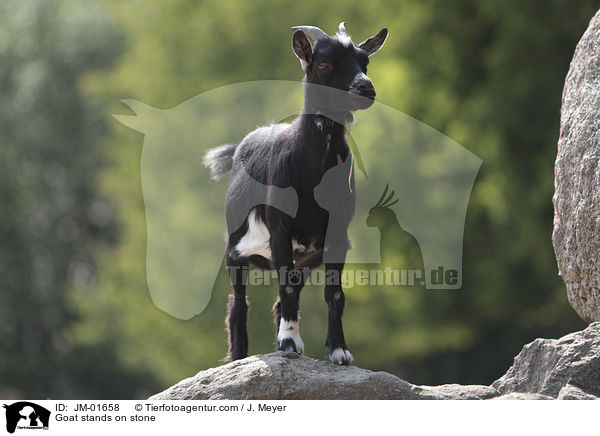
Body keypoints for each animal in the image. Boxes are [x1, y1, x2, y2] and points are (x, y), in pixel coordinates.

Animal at [204, 22, 386, 366]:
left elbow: (334, 293)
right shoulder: (279, 229)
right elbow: (285, 289)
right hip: (235, 249)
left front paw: (339, 350)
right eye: (323, 64)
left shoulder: (337, 232)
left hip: (302, 257)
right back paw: (239, 356)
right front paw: (289, 343)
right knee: (239, 303)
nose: (365, 88)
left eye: (364, 63)